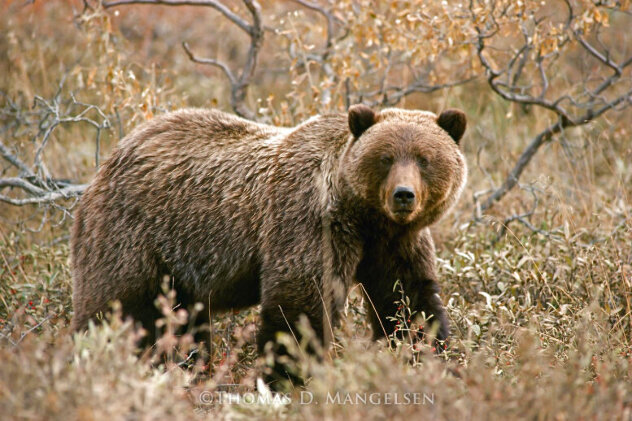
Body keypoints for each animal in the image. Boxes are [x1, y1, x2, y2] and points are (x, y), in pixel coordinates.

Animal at [71, 103, 466, 378]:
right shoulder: (309, 223)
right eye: (385, 158)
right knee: (118, 309)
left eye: (425, 159)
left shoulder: (396, 244)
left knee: (185, 323)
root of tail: (109, 161)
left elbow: (409, 303)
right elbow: (300, 304)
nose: (403, 195)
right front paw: (287, 377)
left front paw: (434, 359)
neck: (364, 217)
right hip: (134, 233)